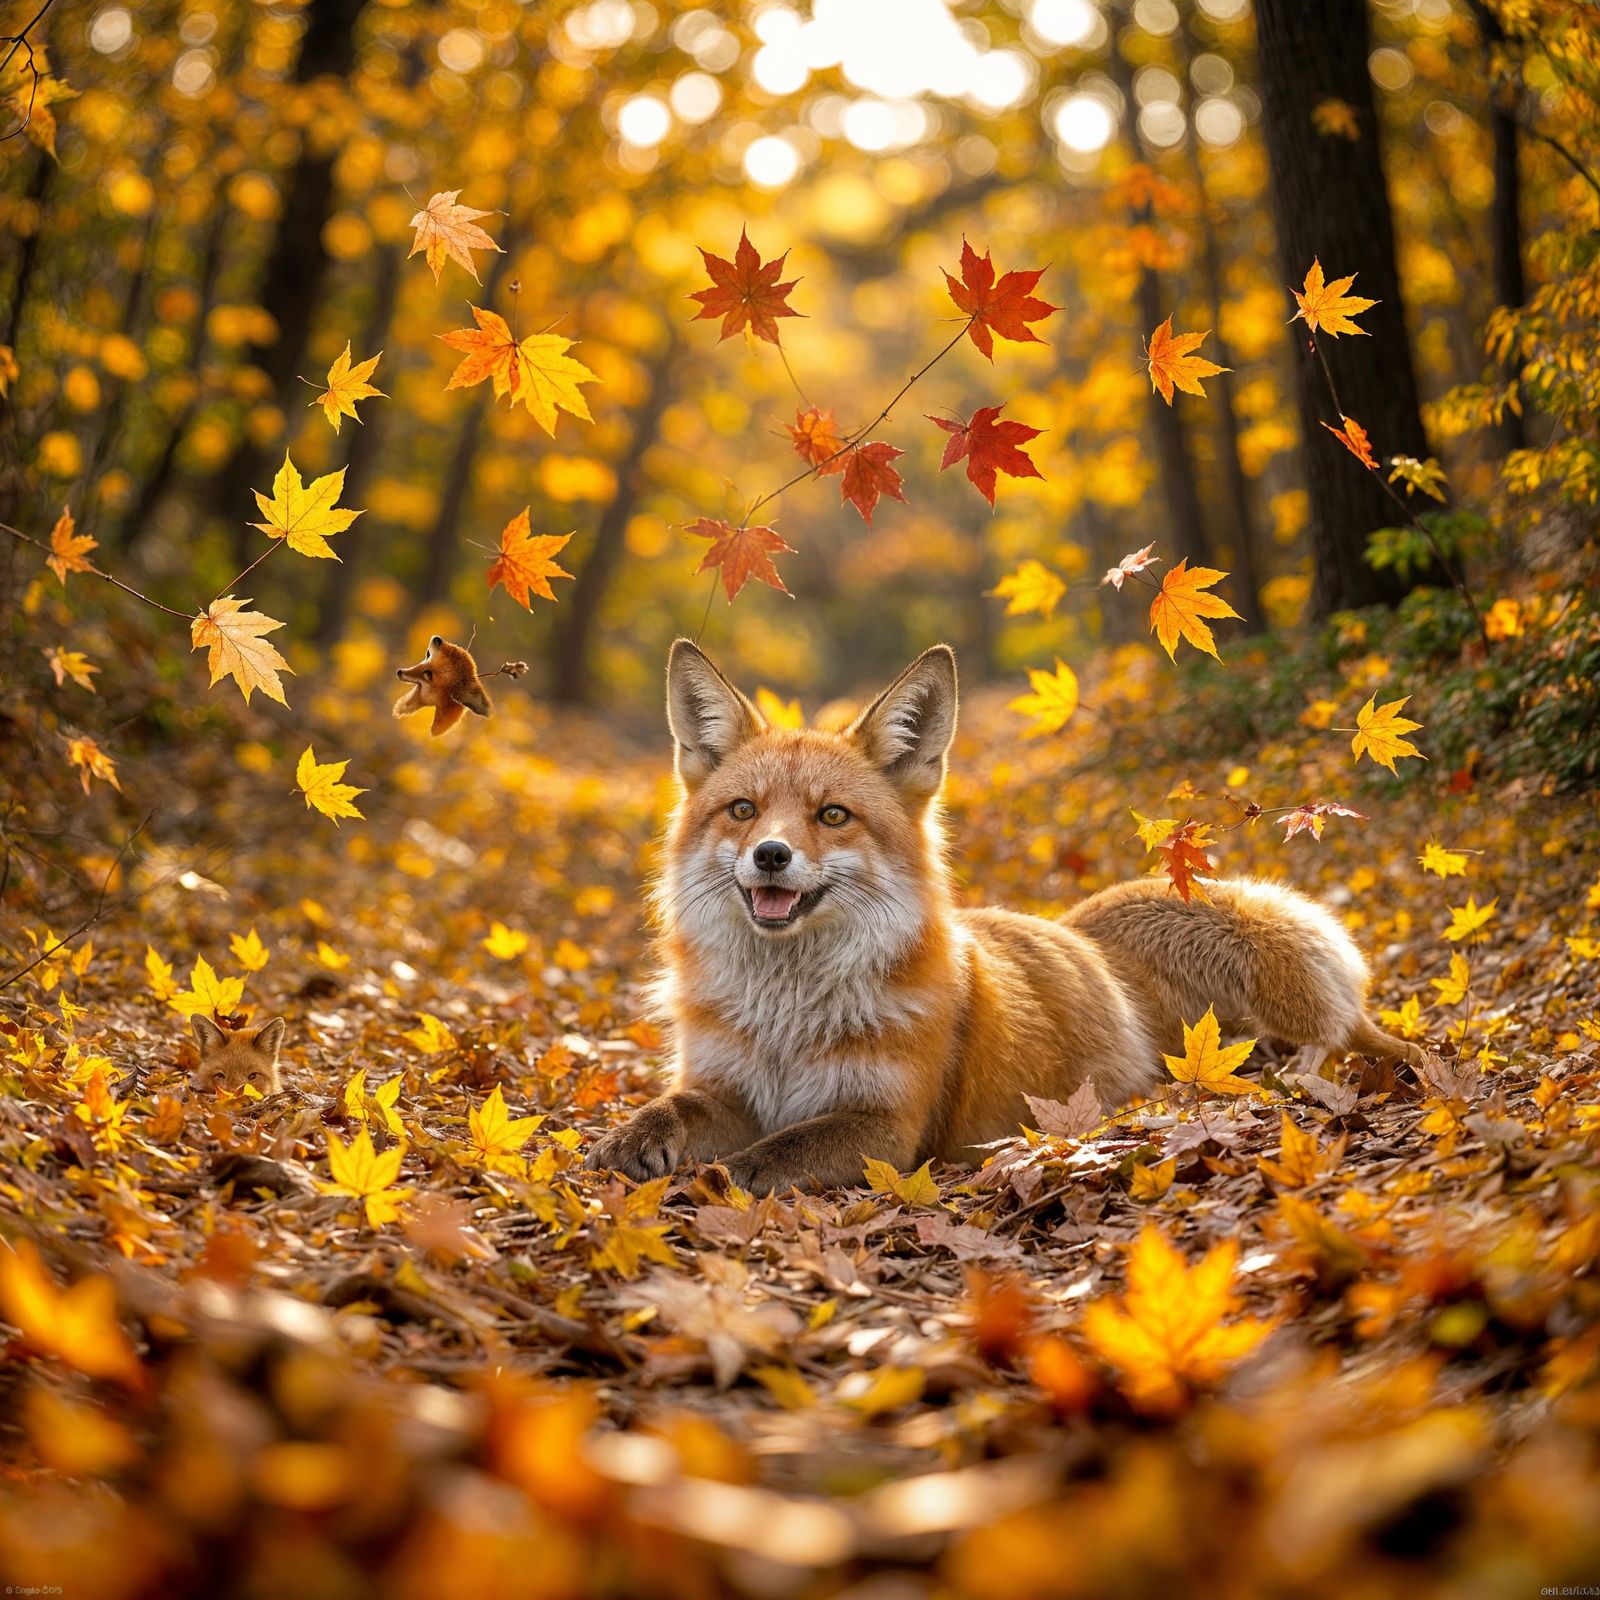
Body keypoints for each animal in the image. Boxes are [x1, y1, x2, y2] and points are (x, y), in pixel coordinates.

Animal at [584, 640, 1425, 1195]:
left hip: (1266, 960)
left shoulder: (887, 1125)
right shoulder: (725, 1086)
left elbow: (777, 1153)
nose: (770, 855)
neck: (787, 1020)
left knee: (1341, 1041)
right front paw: (625, 1141)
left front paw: (721, 1177)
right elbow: (669, 1109)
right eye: (743, 810)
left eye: (832, 816)